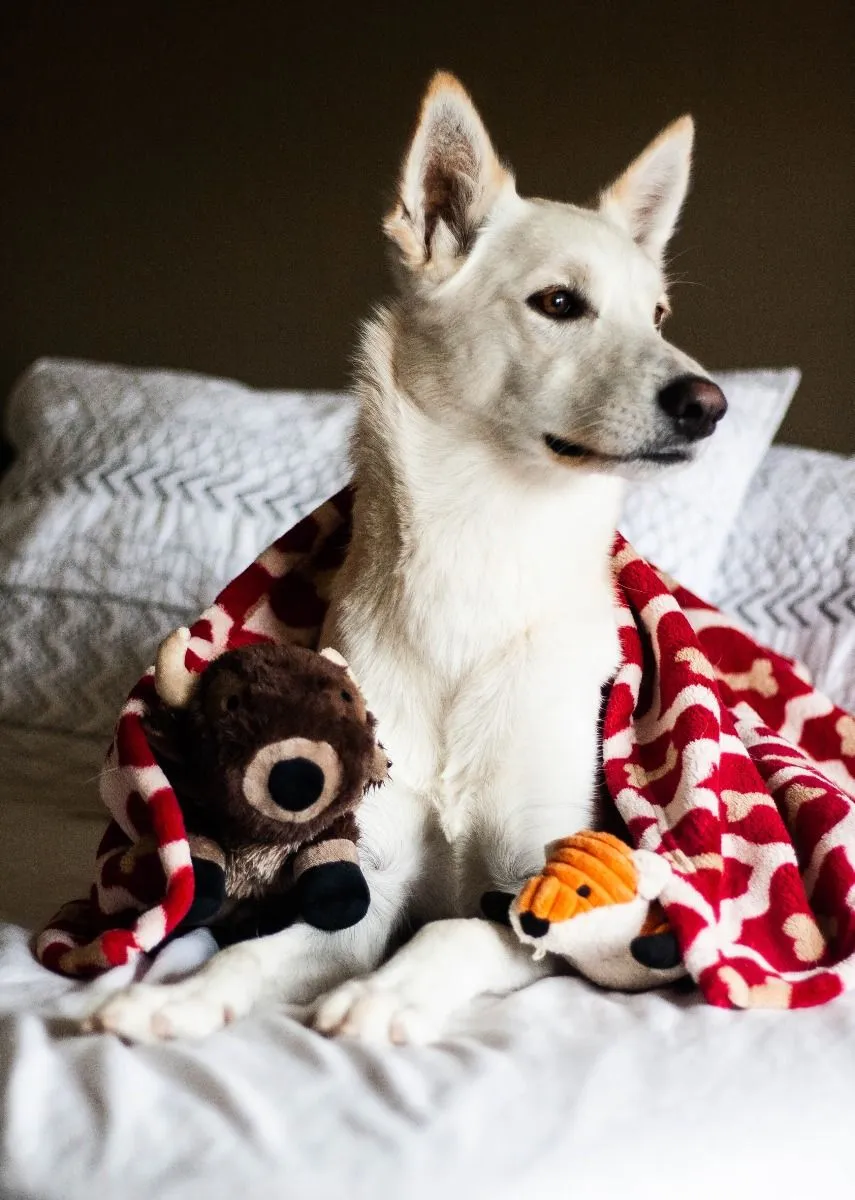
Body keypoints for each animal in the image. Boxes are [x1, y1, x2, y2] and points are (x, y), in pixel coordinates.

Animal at [90, 72, 725, 1041]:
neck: (483, 555)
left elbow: (450, 934)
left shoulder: (550, 898)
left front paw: (378, 998)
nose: (709, 403)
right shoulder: (365, 880)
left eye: (656, 315)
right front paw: (179, 998)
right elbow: (255, 952)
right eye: (558, 303)